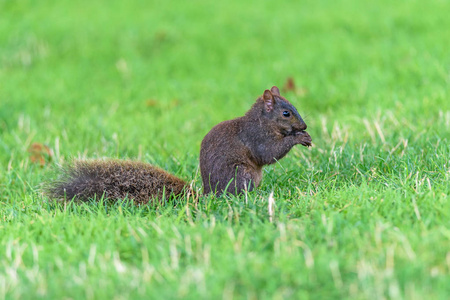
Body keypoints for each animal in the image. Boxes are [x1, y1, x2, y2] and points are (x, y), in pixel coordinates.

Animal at [47, 86, 312, 204]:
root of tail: (209, 194)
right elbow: (267, 153)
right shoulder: (255, 137)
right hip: (242, 174)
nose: (305, 125)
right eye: (286, 113)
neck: (263, 122)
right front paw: (298, 138)